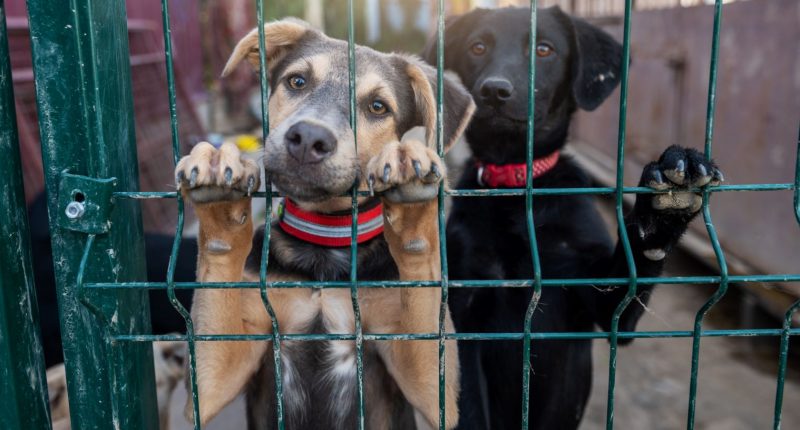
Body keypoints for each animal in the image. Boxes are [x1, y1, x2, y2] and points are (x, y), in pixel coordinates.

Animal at [175, 20, 476, 430]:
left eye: (377, 107)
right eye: (297, 81)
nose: (308, 138)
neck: (326, 243)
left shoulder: (434, 390)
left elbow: (420, 257)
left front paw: (410, 178)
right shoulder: (212, 377)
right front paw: (218, 184)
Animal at [424, 6, 724, 430]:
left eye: (545, 49)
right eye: (477, 47)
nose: (494, 91)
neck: (517, 186)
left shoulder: (605, 305)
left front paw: (664, 207)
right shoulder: (465, 315)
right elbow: (469, 406)